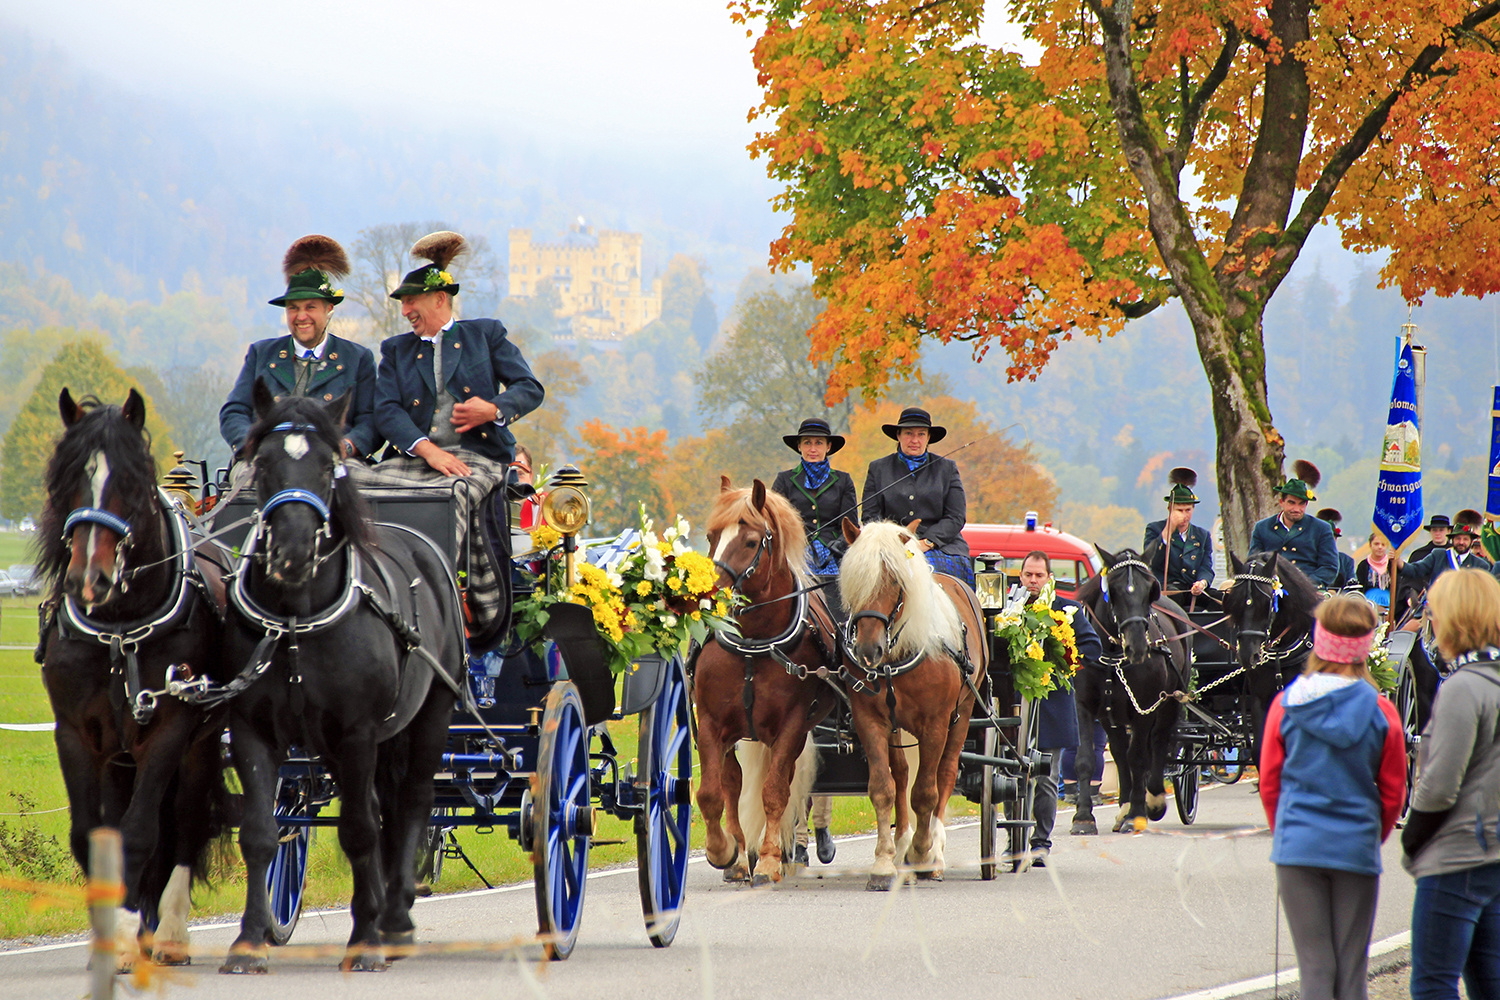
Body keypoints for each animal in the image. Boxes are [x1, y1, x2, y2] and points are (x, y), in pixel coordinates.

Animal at [35, 386, 231, 965]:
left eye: (129, 482)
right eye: (67, 479)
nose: (89, 579)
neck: (121, 628)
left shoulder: (170, 730)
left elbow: (142, 832)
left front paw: (129, 934)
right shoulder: (76, 734)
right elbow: (92, 837)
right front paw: (112, 935)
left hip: (200, 743)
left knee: (186, 822)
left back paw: (168, 936)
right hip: (119, 754)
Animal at [219, 380, 465, 971]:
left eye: (329, 464)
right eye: (262, 463)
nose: (292, 551)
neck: (295, 619)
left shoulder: (357, 732)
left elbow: (357, 830)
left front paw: (366, 940)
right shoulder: (252, 729)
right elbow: (260, 834)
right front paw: (249, 940)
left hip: (430, 714)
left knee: (413, 800)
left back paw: (393, 920)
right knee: (384, 807)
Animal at [693, 479, 840, 887]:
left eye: (749, 540)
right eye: (711, 535)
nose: (707, 594)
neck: (754, 644)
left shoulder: (790, 726)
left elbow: (775, 792)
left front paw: (771, 860)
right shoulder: (710, 723)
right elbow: (711, 793)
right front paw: (723, 851)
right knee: (732, 784)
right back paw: (741, 858)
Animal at [1074, 548, 1188, 839]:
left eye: (1150, 589)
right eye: (1112, 590)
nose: (1137, 647)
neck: (1112, 656)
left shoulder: (1145, 707)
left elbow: (1138, 758)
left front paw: (1136, 815)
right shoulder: (1085, 706)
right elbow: (1086, 758)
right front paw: (1083, 817)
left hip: (1170, 702)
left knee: (1158, 742)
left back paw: (1153, 800)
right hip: (1110, 715)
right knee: (1117, 750)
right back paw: (1124, 805)